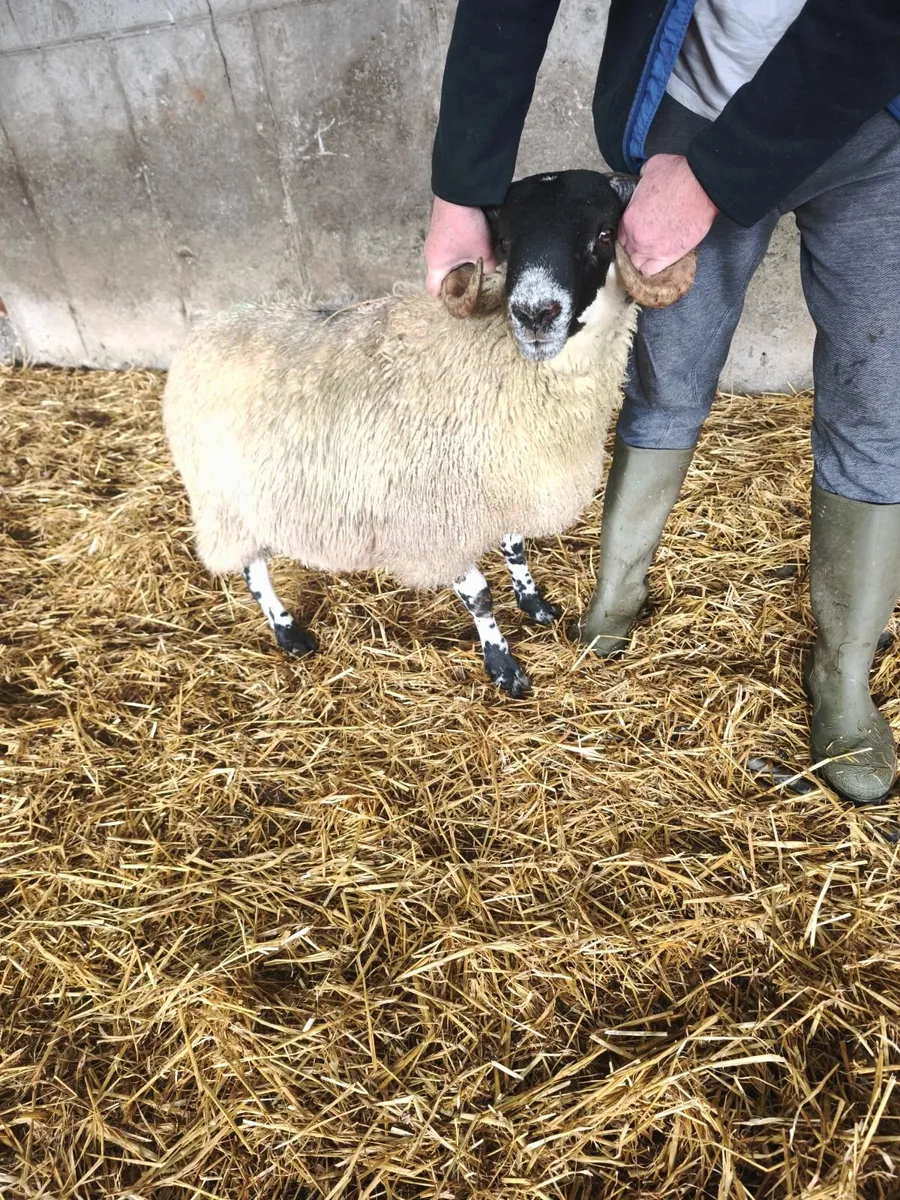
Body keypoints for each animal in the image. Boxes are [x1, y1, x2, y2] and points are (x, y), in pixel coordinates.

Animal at [162, 169, 695, 696]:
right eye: (506, 241)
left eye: (603, 235)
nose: (534, 314)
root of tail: (206, 329)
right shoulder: (437, 515)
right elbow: (478, 597)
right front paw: (503, 665)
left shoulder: (501, 479)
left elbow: (515, 546)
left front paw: (534, 603)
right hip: (224, 499)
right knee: (252, 569)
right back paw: (287, 631)